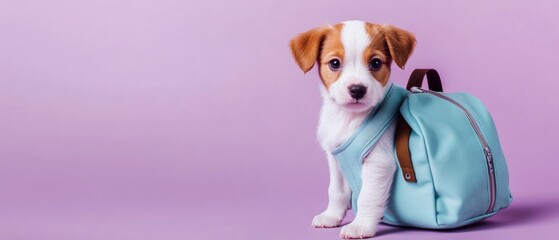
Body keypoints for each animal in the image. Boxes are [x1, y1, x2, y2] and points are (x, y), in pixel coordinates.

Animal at [288, 20, 416, 238]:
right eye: (334, 63)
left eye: (375, 63)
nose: (357, 89)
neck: (348, 118)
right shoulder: (335, 156)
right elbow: (336, 191)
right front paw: (331, 215)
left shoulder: (378, 162)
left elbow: (367, 196)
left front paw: (361, 225)